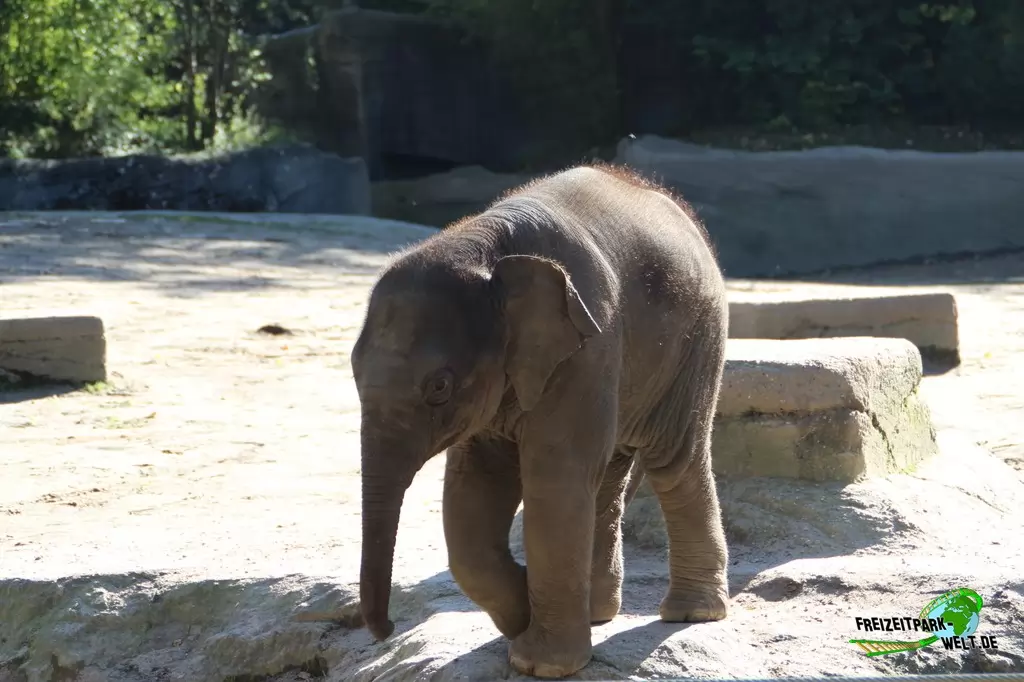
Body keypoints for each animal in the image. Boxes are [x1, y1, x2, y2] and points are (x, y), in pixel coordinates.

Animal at [351, 163, 730, 678]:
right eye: (352, 368)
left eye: (439, 387)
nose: (386, 630)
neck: (482, 244)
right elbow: (475, 487)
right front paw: (520, 617)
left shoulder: (589, 341)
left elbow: (554, 477)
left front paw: (540, 662)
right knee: (608, 477)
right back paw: (597, 613)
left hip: (696, 341)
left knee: (675, 461)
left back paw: (692, 613)